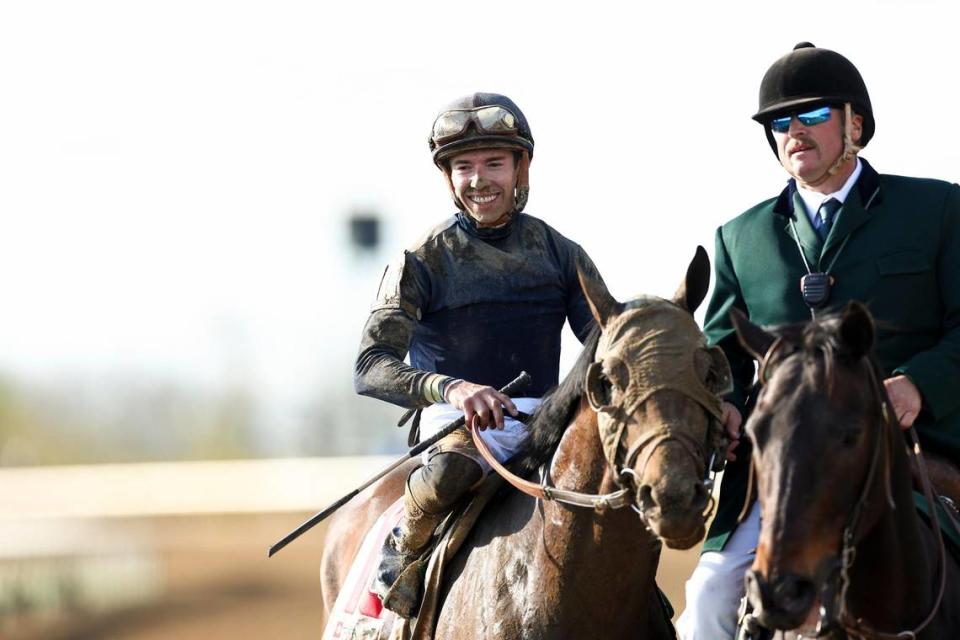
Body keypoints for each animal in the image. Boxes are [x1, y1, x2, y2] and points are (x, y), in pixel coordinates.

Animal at [318, 248, 732, 636]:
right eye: (608, 381)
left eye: (709, 373)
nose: (674, 496)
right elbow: (373, 357)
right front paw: (474, 396)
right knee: (450, 471)